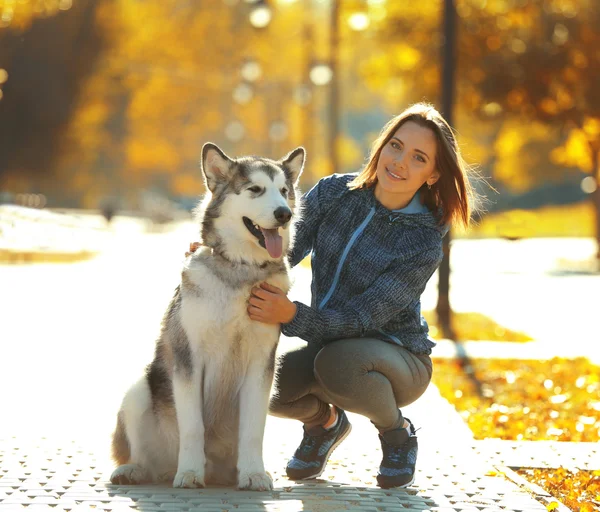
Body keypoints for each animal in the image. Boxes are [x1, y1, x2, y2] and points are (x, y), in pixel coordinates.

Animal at [110, 142, 304, 490]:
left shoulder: (261, 364)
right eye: (255, 189)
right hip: (139, 390)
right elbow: (193, 427)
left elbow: (253, 431)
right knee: (144, 456)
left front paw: (254, 474)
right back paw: (136, 470)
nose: (285, 214)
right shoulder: (189, 360)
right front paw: (189, 472)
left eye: (284, 191)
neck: (240, 272)